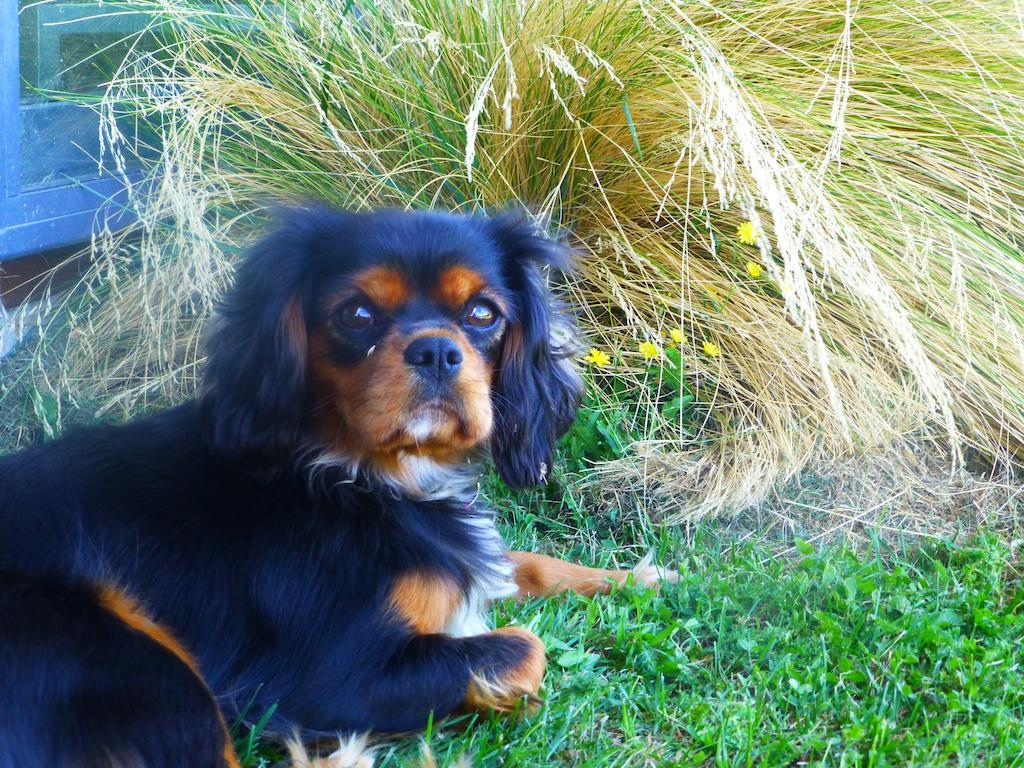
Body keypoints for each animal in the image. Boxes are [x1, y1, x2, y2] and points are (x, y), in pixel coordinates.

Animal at [0, 207, 671, 765]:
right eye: (356, 314)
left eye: (483, 314)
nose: (436, 351)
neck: (361, 473)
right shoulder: (324, 681)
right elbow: (523, 647)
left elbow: (524, 563)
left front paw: (639, 577)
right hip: (139, 667)